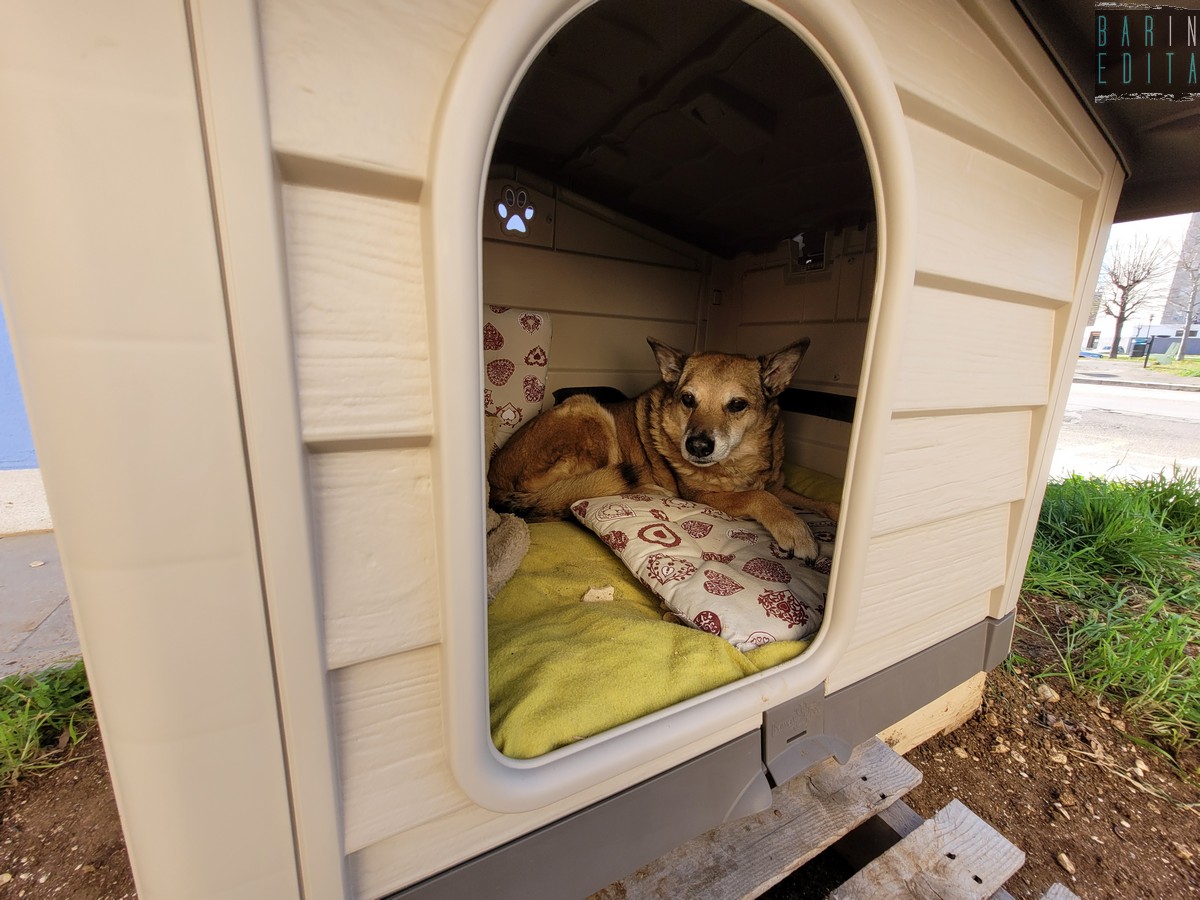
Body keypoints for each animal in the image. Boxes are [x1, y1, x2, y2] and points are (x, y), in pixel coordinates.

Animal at [482, 338, 840, 564]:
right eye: (688, 399)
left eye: (737, 405)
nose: (696, 446)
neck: (743, 458)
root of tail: (493, 480)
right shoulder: (707, 496)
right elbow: (760, 498)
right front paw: (797, 532)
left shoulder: (779, 486)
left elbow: (815, 502)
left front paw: (835, 512)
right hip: (589, 410)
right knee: (577, 490)